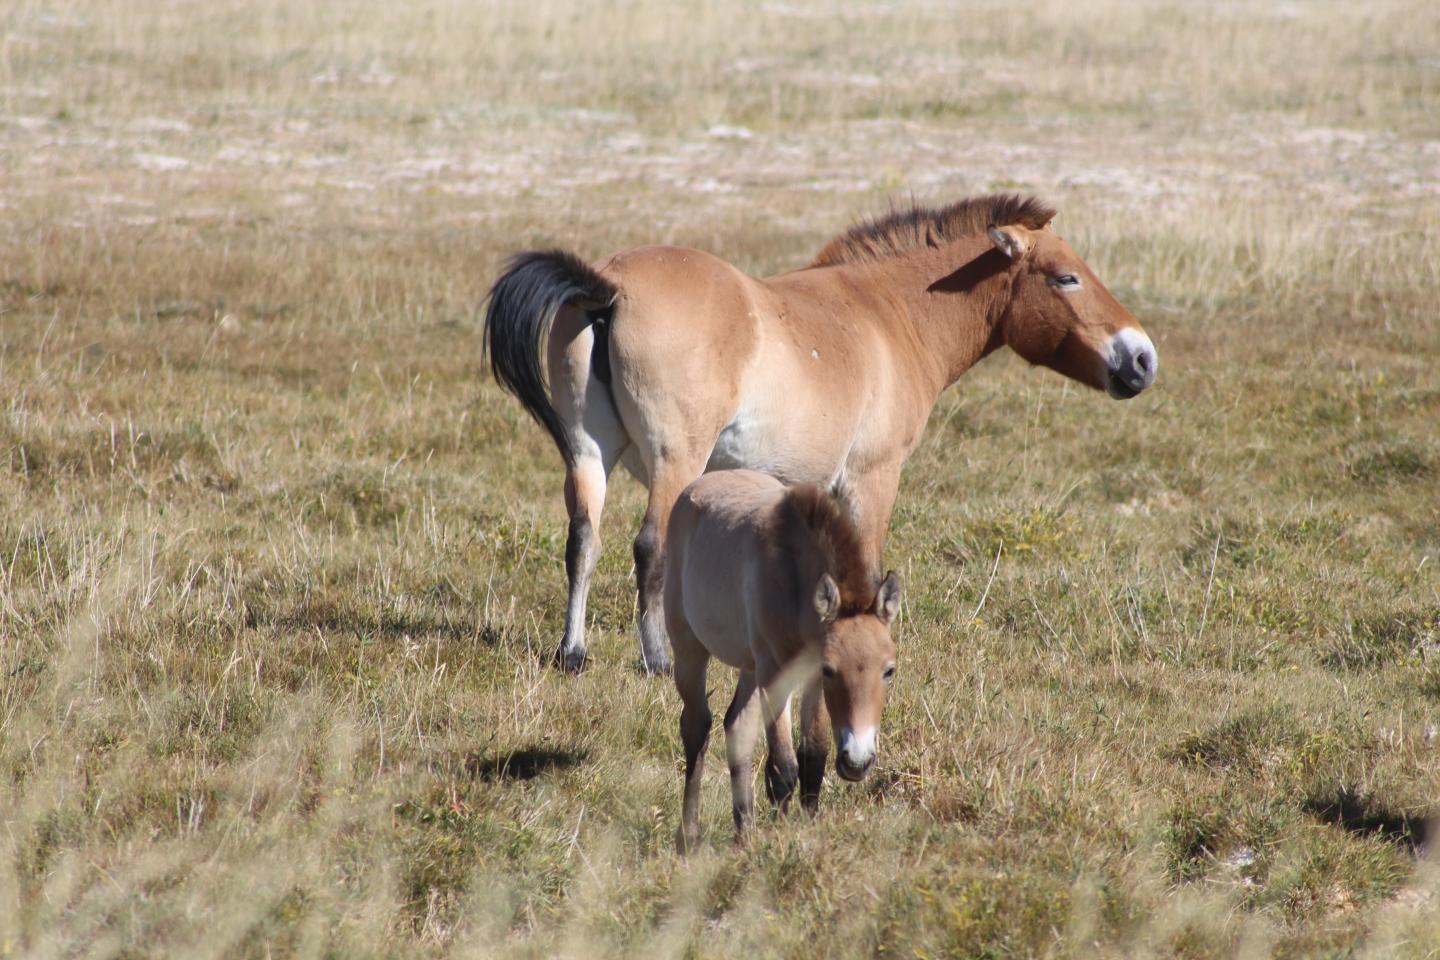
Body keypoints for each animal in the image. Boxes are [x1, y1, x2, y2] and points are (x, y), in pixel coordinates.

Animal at [484, 194, 1158, 676]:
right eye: (1066, 278)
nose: (1142, 358)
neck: (888, 313)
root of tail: (607, 288)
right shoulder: (870, 478)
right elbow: (867, 564)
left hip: (587, 453)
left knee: (583, 540)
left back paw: (573, 653)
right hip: (677, 460)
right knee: (649, 548)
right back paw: (657, 660)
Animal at [663, 469, 900, 851]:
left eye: (889, 670)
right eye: (832, 669)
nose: (857, 762)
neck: (793, 578)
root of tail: (697, 486)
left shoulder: (808, 678)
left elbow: (813, 759)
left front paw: (805, 832)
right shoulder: (779, 674)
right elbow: (784, 769)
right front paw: (780, 839)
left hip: (750, 667)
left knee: (737, 726)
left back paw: (743, 834)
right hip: (689, 649)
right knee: (697, 727)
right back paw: (689, 838)